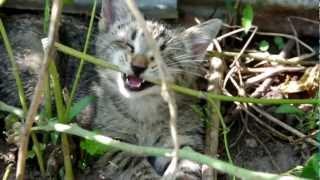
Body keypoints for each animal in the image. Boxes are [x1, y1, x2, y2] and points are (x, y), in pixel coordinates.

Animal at [87, 0, 222, 179]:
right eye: (128, 45)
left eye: (161, 54)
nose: (137, 66)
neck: (145, 108)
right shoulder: (109, 139)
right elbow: (132, 162)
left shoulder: (184, 137)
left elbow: (188, 163)